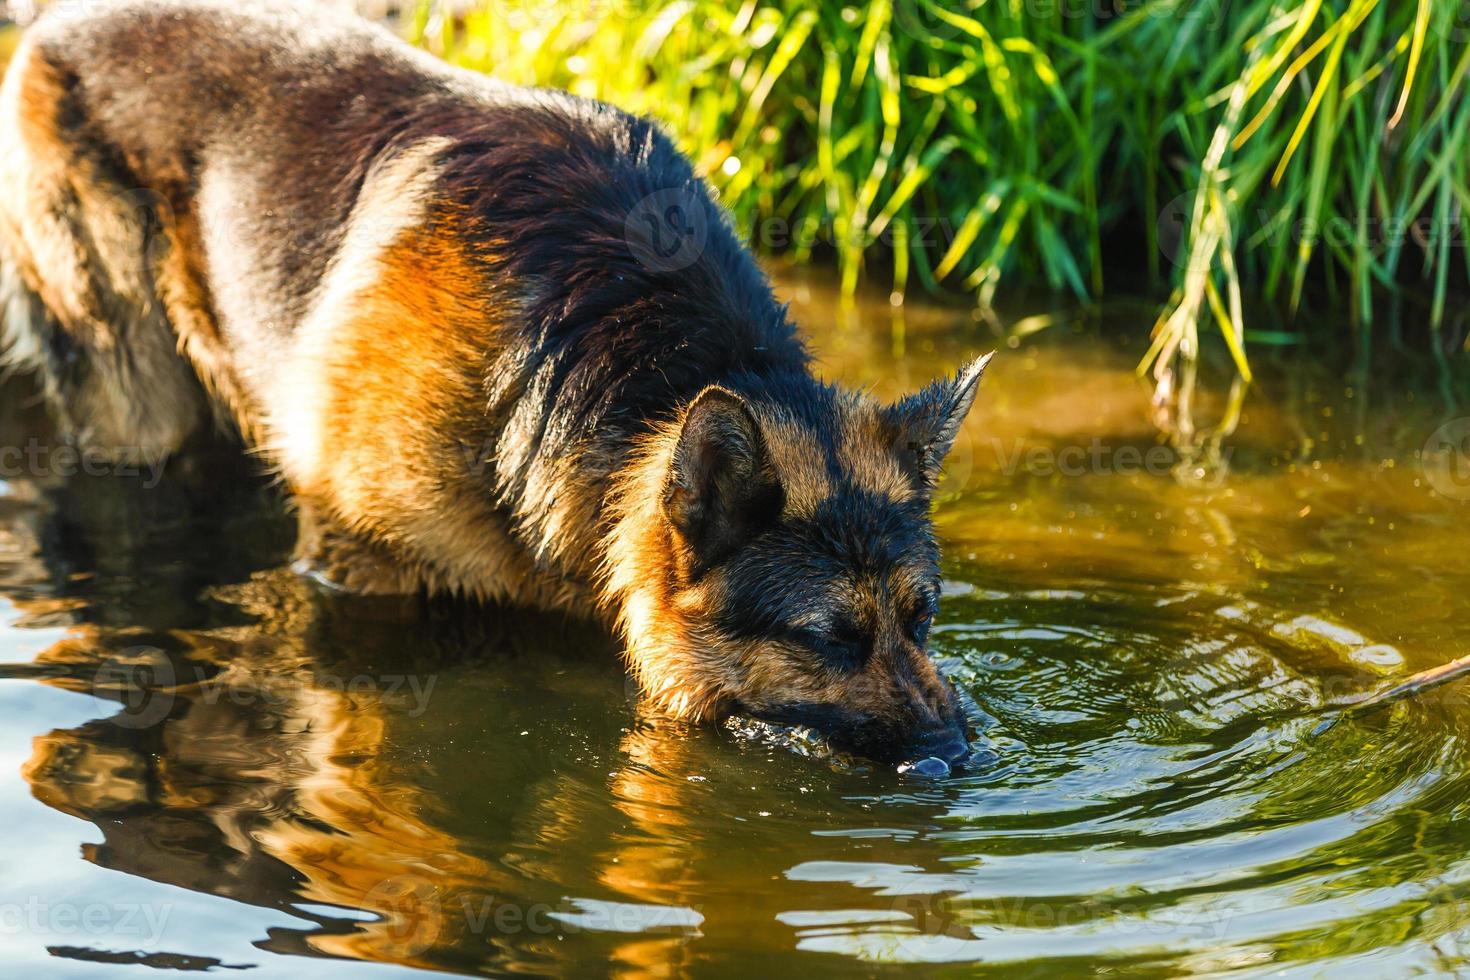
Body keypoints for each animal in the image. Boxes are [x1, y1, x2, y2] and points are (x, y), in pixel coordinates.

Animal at [2, 0, 987, 764]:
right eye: (830, 640)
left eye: (923, 618)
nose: (957, 755)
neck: (619, 363)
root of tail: (58, 22)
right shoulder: (358, 570)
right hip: (136, 405)